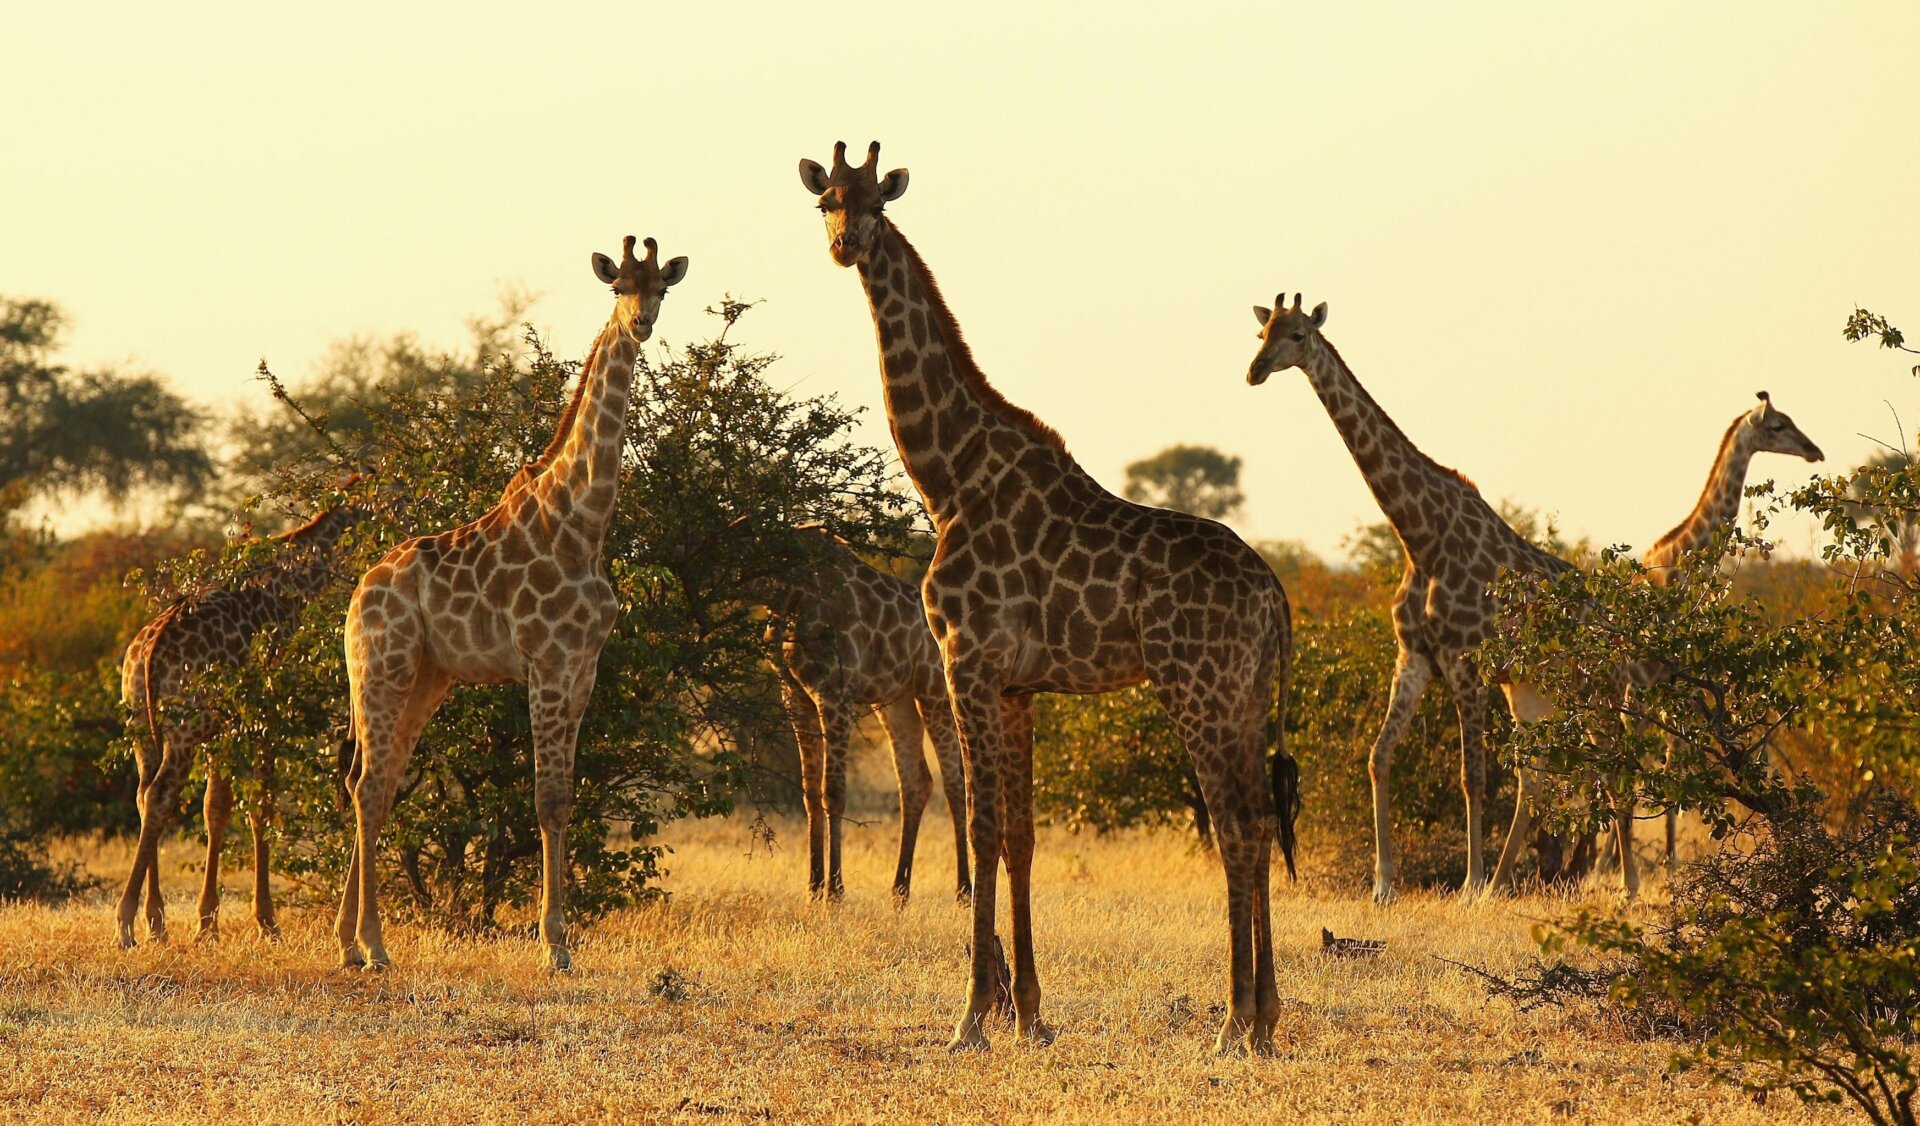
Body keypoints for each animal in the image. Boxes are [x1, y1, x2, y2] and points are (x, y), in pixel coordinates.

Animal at [114, 495, 363, 948]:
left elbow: (217, 807)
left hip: (142, 725)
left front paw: (207, 923)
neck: (295, 585)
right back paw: (126, 922)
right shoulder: (268, 712)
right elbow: (260, 805)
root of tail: (147, 653)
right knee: (159, 795)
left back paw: (156, 920)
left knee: (143, 796)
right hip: (185, 727)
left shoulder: (227, 726)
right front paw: (267, 921)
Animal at [334, 235, 686, 972]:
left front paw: (561, 940)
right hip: (382, 667)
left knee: (376, 783)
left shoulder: (584, 668)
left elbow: (566, 799)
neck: (585, 520)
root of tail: (354, 597)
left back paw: (349, 943)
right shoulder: (547, 662)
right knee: (370, 785)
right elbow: (547, 799)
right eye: (619, 287)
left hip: (426, 677)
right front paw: (554, 946)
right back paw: (374, 946)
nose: (642, 324)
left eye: (661, 288)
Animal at [768, 526, 970, 903]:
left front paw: (835, 890)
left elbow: (833, 791)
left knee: (955, 780)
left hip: (934, 693)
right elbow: (809, 791)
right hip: (896, 702)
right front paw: (813, 887)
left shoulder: (834, 692)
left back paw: (964, 889)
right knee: (916, 781)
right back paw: (900, 891)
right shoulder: (794, 694)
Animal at [800, 141, 1299, 1055]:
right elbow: (1023, 838)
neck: (948, 478)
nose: (846, 244)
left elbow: (982, 829)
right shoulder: (1018, 687)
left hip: (1198, 689)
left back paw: (1236, 1022)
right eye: (825, 201)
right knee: (1254, 820)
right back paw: (1265, 1019)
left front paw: (970, 1017)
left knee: (1239, 828)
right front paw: (1029, 1012)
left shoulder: (967, 662)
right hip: (1244, 695)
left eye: (876, 204)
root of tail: (1276, 598)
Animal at [1246, 294, 1573, 903]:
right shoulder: (1415, 658)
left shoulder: (1464, 662)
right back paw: (1504, 883)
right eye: (1262, 332)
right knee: (1536, 777)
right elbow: (1378, 758)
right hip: (1530, 690)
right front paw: (1383, 885)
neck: (1421, 539)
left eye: (1298, 335)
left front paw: (1467, 883)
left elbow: (1472, 776)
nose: (1254, 371)